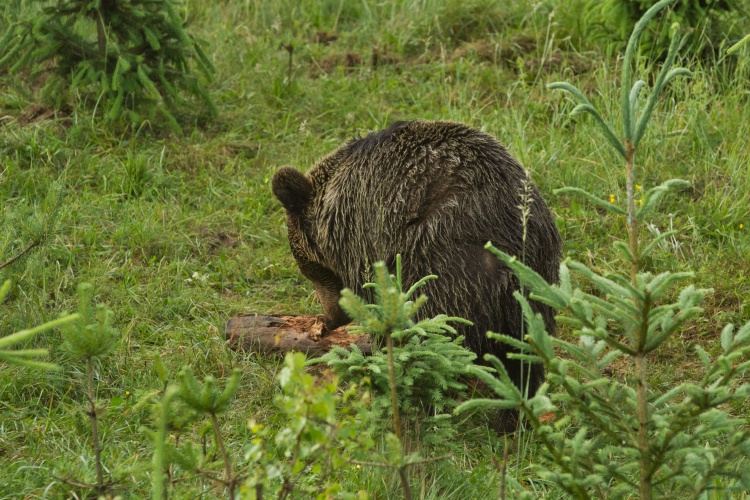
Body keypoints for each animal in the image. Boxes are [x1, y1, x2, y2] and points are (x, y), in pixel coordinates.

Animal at [274, 122, 560, 422]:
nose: (331, 319)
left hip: (441, 262)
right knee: (524, 356)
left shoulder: (368, 239)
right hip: (536, 282)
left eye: (311, 270)